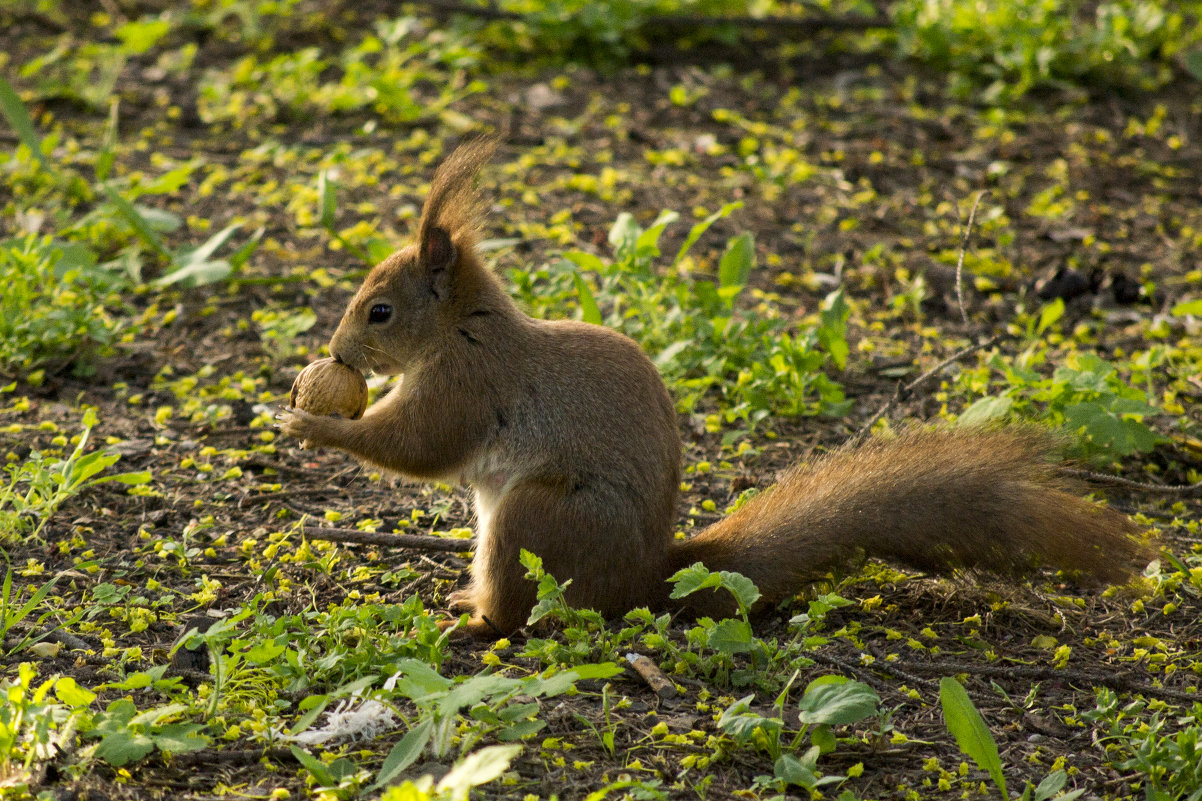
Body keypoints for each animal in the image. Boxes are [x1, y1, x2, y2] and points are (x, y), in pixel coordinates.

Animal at [276, 137, 1149, 635]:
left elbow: (418, 447)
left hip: (534, 522)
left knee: (527, 614)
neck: (465, 324)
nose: (336, 349)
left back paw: (477, 621)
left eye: (380, 311)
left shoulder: (468, 381)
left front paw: (313, 426)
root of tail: (643, 581)